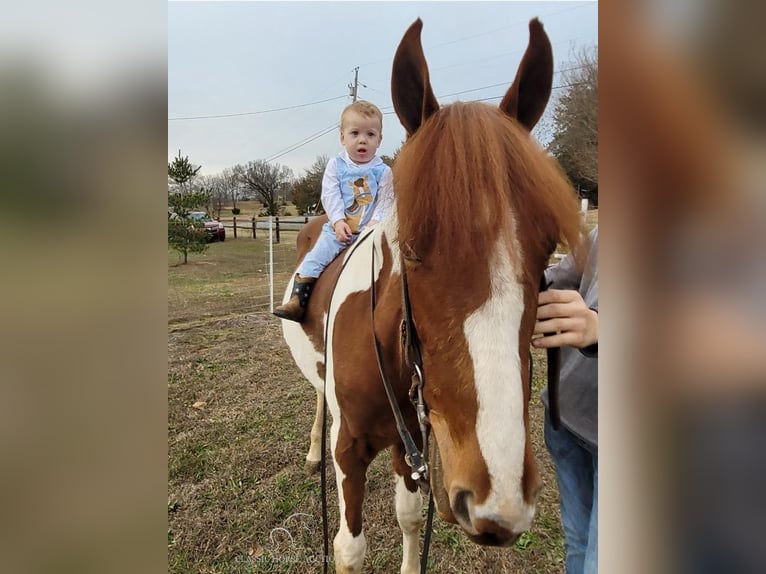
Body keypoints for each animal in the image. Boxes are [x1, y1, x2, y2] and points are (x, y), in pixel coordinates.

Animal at [280, 19, 584, 574]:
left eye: (547, 246)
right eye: (413, 249)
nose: (497, 499)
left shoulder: (412, 445)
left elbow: (407, 518)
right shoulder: (349, 448)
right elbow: (349, 549)